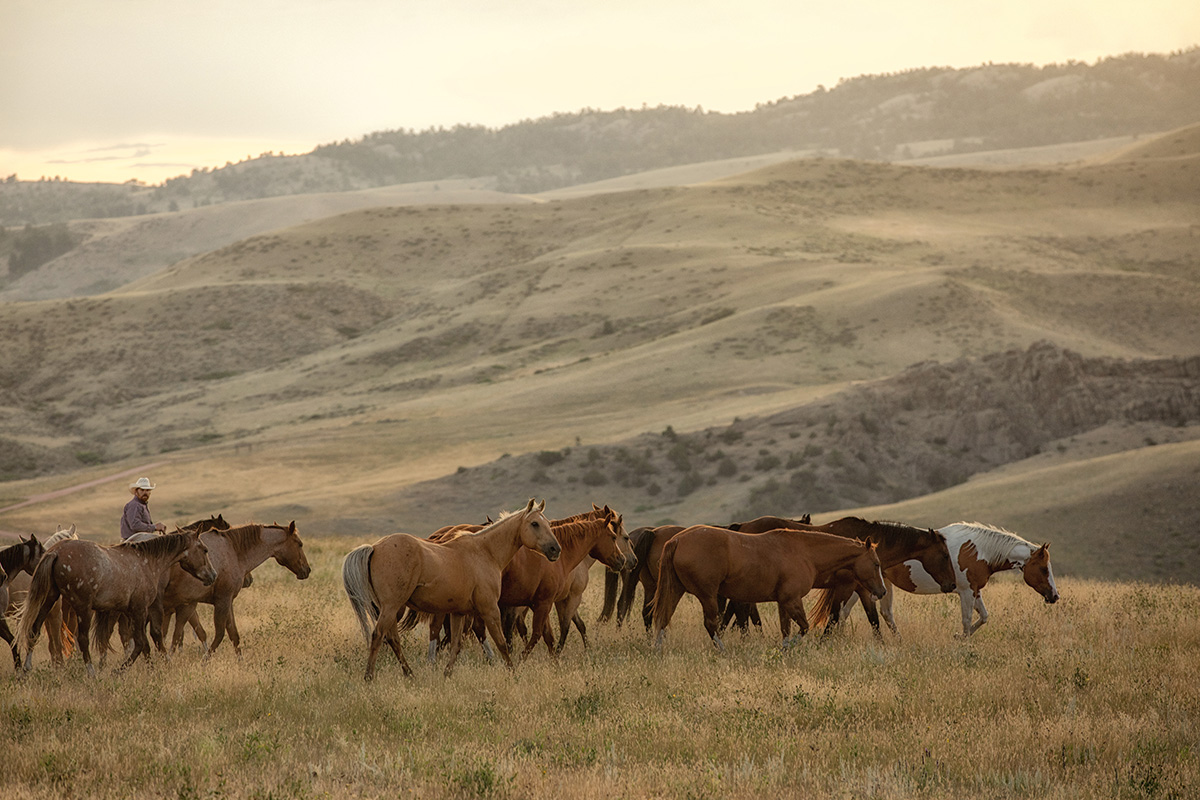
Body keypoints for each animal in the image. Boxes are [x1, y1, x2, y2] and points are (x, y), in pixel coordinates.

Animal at [17, 532, 218, 676]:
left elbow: (142, 643)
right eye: (204, 549)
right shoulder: (140, 610)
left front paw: (151, 667)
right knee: (82, 639)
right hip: (83, 608)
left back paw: (26, 668)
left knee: (34, 628)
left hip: (49, 599)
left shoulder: (130, 612)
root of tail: (56, 551)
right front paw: (120, 670)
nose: (213, 575)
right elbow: (140, 643)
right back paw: (92, 673)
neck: (147, 562)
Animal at [652, 525, 888, 652]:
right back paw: (723, 650)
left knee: (663, 618)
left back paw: (658, 650)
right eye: (876, 564)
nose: (882, 591)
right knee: (710, 625)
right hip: (707, 595)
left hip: (676, 591)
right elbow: (804, 627)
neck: (804, 552)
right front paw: (788, 649)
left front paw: (784, 651)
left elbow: (786, 629)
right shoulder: (792, 601)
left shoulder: (784, 602)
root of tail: (677, 539)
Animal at [801, 520, 960, 638]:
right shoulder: (847, 587)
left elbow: (873, 619)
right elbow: (834, 617)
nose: (952, 584)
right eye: (945, 555)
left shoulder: (866, 589)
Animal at [835, 520, 1060, 638]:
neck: (978, 550)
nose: (1055, 596)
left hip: (885, 585)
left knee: (885, 613)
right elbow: (967, 620)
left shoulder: (975, 591)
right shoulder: (966, 592)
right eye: (1043, 569)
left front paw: (960, 638)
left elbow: (983, 617)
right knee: (845, 611)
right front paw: (963, 645)